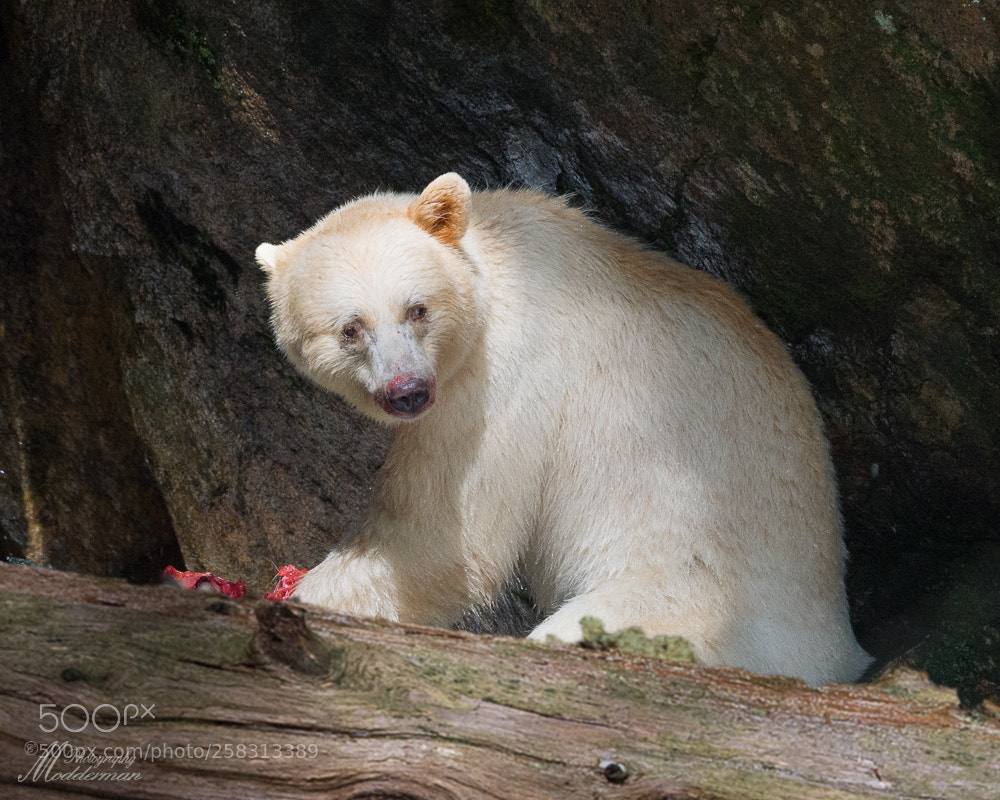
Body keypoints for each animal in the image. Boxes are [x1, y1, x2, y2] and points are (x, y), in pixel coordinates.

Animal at [256, 172, 872, 686]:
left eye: (417, 309)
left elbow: (438, 544)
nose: (407, 391)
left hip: (696, 597)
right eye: (350, 329)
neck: (503, 256)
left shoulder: (498, 383)